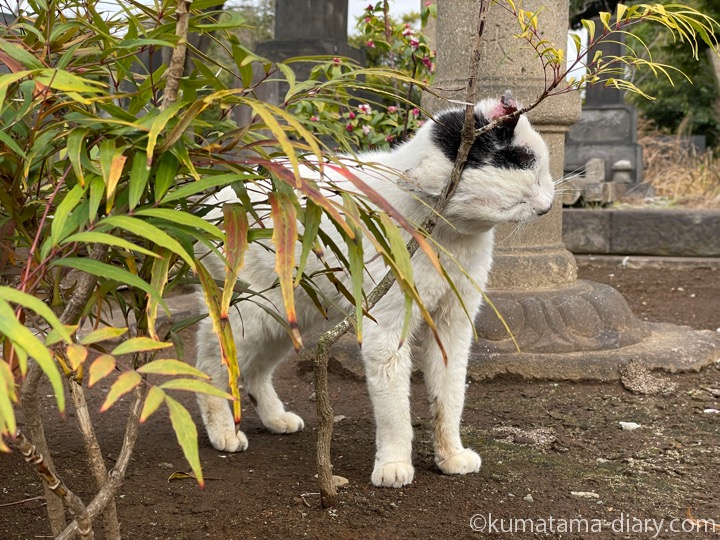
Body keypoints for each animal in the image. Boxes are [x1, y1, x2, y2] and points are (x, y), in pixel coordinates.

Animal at [191, 93, 552, 490]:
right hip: (251, 314)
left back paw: (276, 418)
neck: (447, 237)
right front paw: (394, 464)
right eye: (527, 189)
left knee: (254, 370)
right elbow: (395, 409)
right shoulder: (387, 331)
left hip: (288, 319)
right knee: (209, 365)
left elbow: (449, 396)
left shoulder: (454, 323)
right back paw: (224, 432)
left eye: (544, 176)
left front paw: (451, 456)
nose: (548, 206)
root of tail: (218, 192)